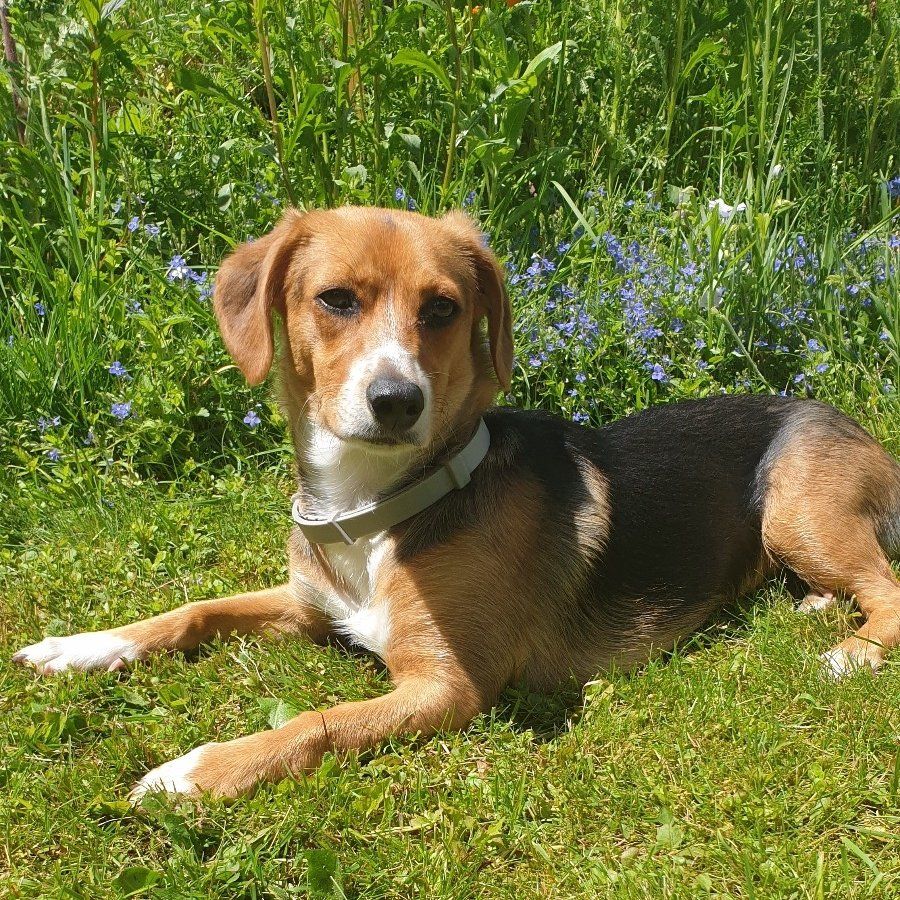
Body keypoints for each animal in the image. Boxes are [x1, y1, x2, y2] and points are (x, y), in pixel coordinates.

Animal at [14, 206, 900, 799]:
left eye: (443, 308)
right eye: (335, 299)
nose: (397, 400)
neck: (371, 513)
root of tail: (839, 415)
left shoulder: (446, 688)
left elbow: (313, 723)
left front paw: (197, 768)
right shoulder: (312, 605)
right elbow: (194, 609)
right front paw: (83, 645)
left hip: (797, 509)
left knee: (886, 588)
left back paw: (852, 650)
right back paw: (817, 606)